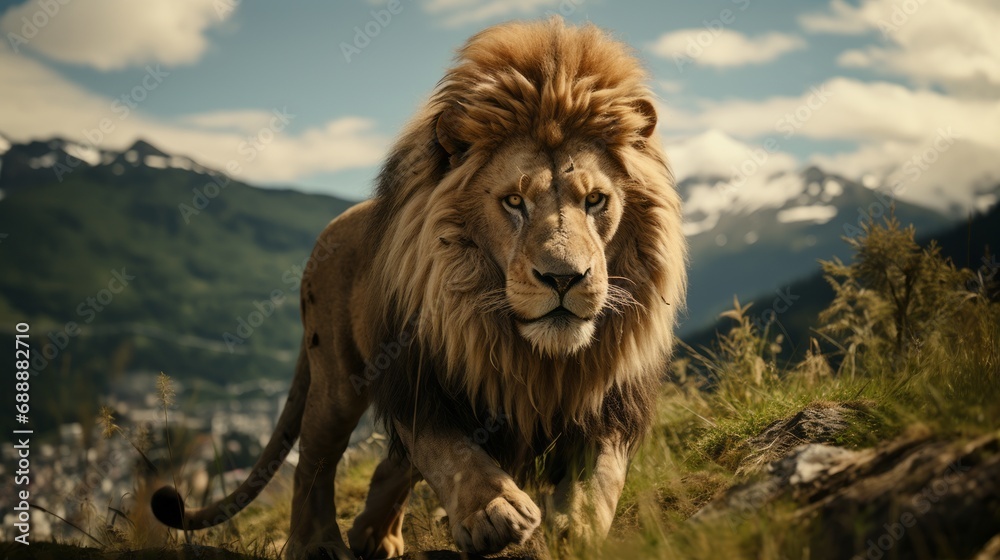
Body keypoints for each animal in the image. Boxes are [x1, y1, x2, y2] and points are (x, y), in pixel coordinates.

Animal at [151, 17, 686, 560]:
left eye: (596, 200)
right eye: (514, 201)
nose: (563, 277)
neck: (530, 354)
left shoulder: (609, 396)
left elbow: (599, 475)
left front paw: (575, 527)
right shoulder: (416, 375)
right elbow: (448, 451)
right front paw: (494, 511)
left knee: (388, 466)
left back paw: (375, 535)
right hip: (335, 380)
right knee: (315, 461)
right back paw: (317, 545)